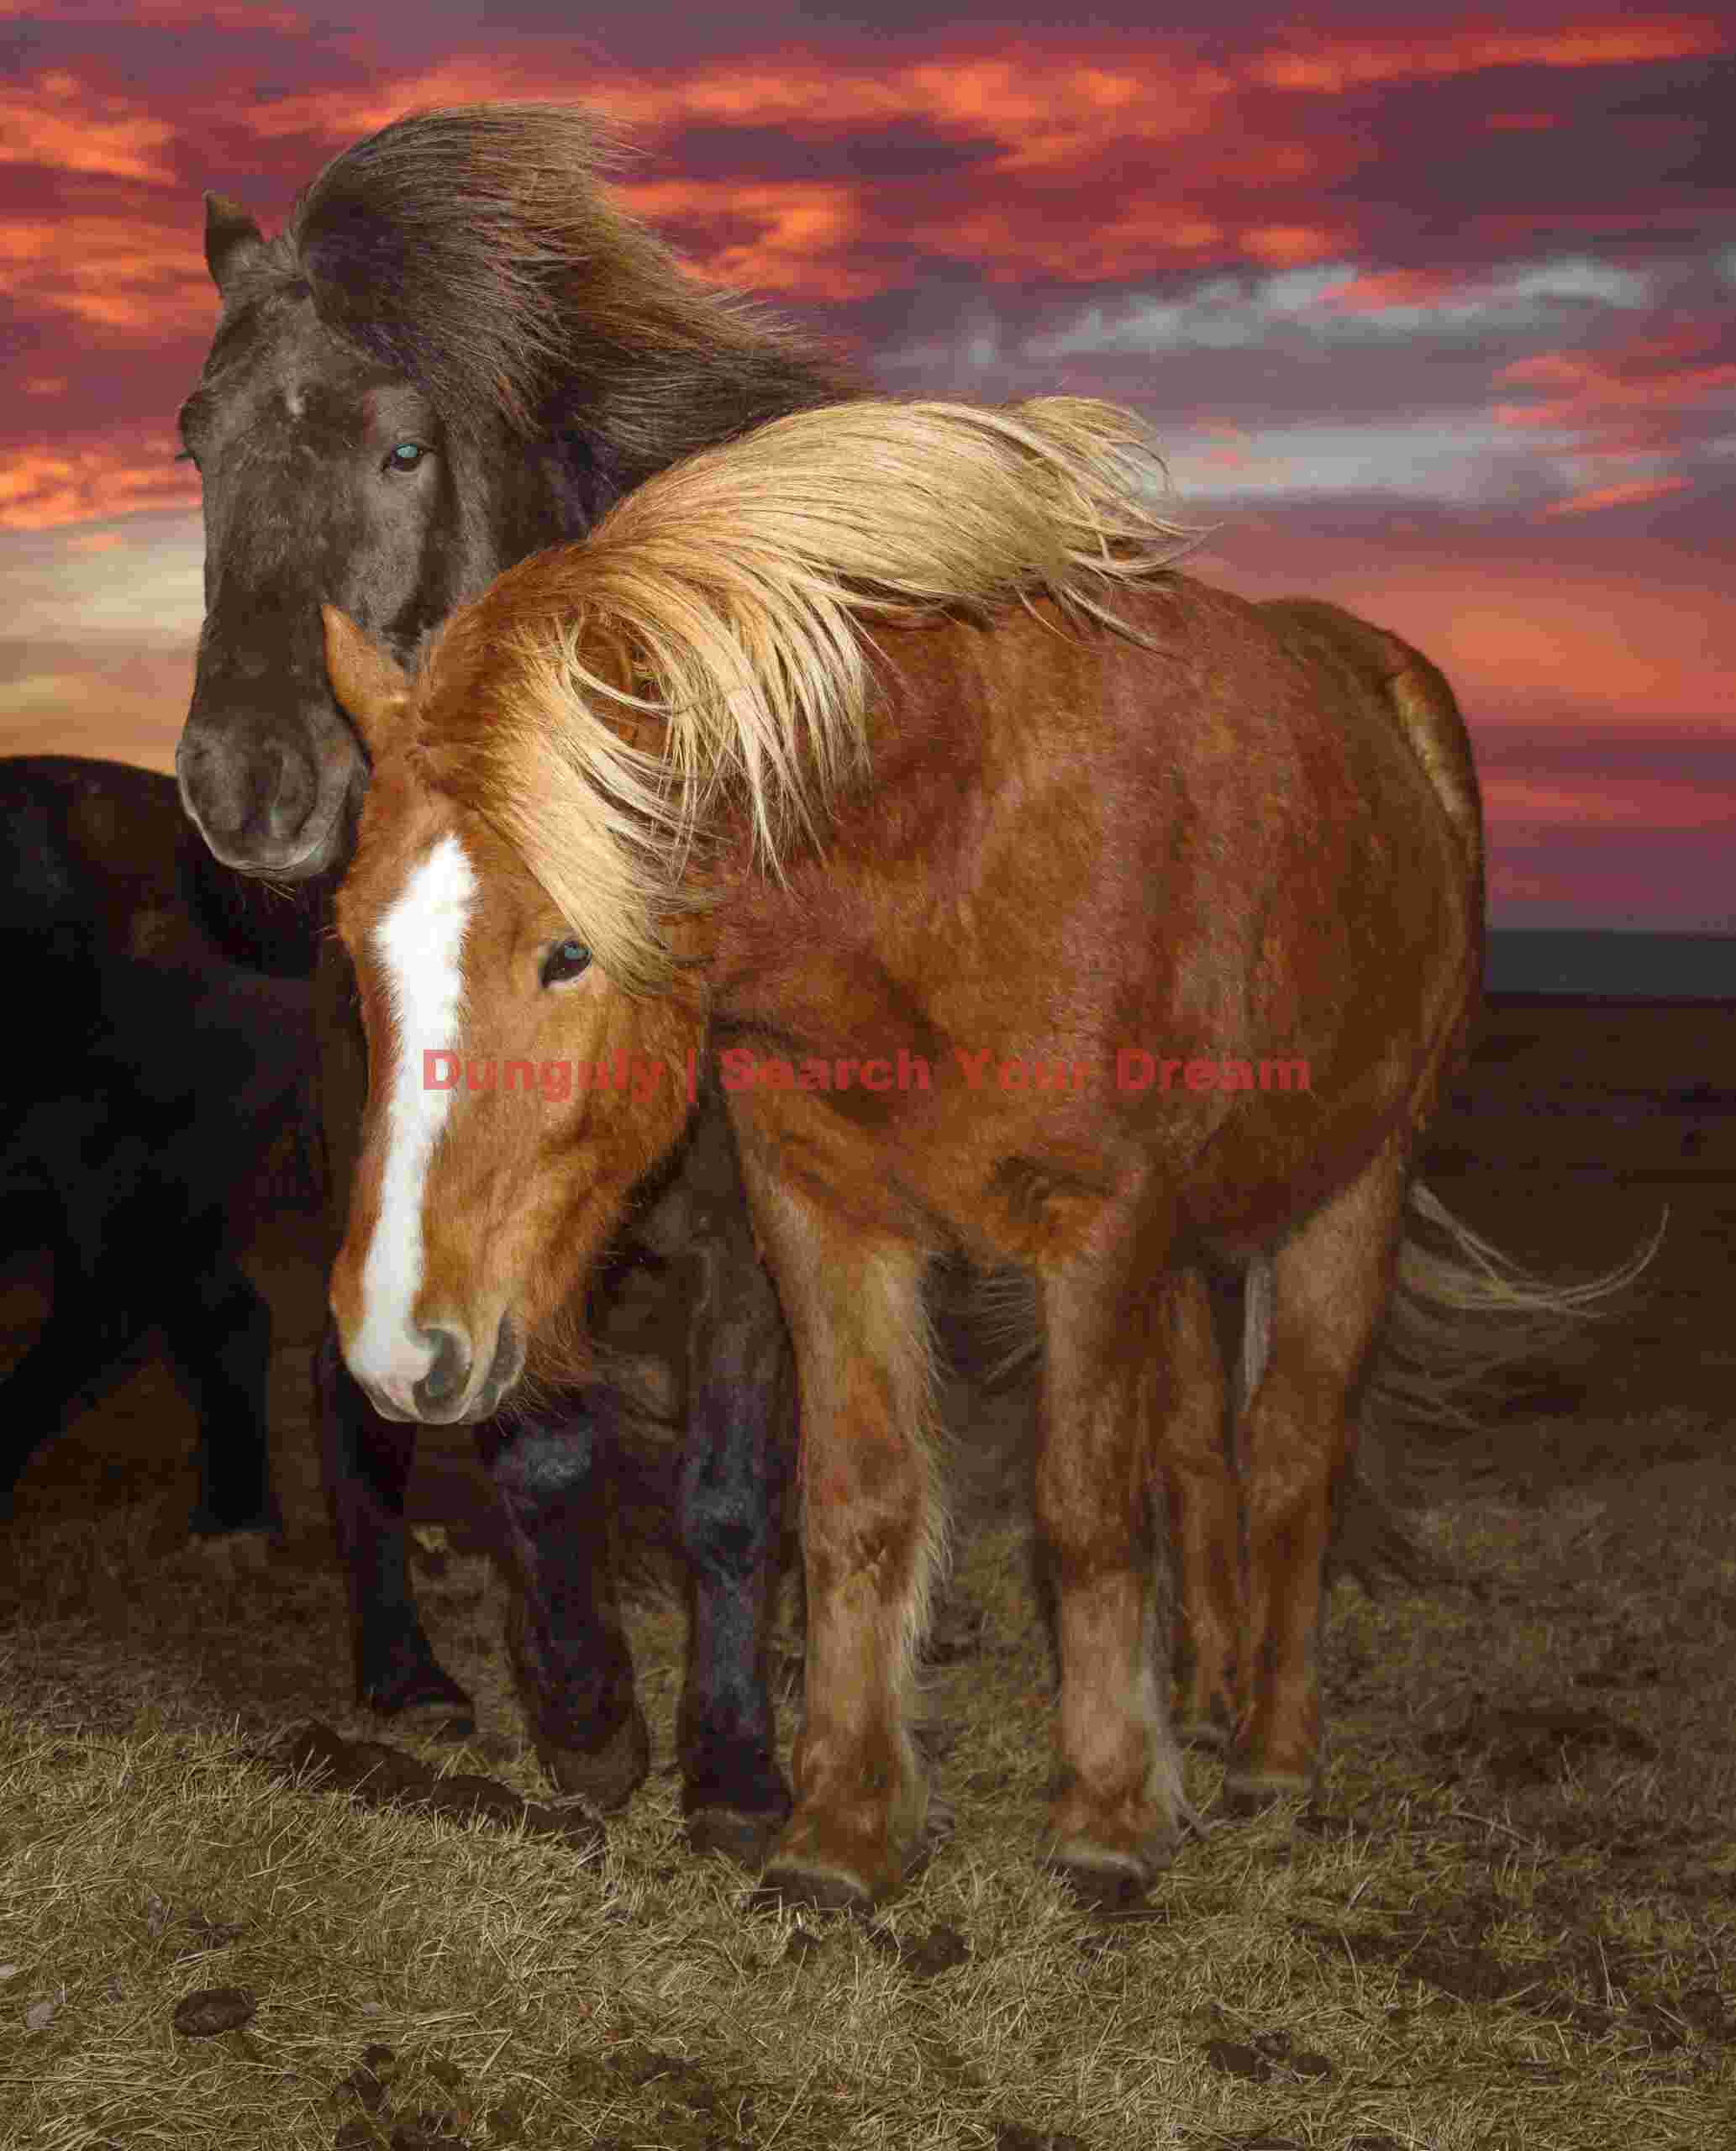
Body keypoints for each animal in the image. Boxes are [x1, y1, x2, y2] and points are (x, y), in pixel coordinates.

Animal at [316, 393, 1612, 1911]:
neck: (955, 860)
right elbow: (861, 1504)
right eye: (353, 945)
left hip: (1354, 1190)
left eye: (566, 952)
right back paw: (1206, 1694)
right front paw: (842, 1833)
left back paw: (1270, 1752)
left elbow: (1084, 1511)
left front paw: (1108, 1814)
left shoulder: (1098, 1229)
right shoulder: (822, 1218)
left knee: (1294, 1453)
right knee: (1202, 1454)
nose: (397, 1345)